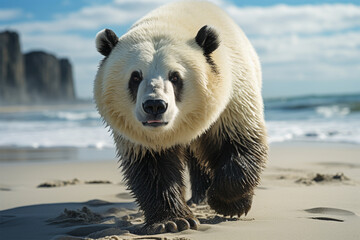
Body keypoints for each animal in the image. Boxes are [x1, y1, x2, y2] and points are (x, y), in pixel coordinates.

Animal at [93, 0, 268, 232]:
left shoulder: (233, 92)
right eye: (135, 77)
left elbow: (239, 143)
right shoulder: (142, 135)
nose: (155, 106)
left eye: (175, 77)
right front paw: (173, 221)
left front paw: (228, 203)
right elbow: (152, 167)